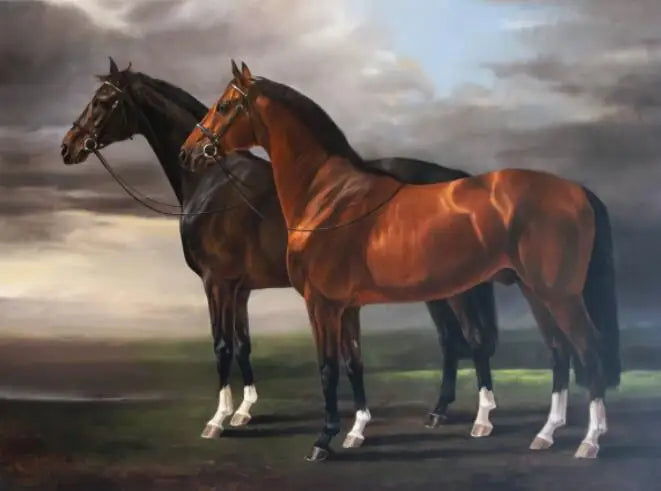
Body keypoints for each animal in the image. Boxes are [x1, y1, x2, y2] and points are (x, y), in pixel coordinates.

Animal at [60, 58, 500, 441]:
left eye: (103, 100)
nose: (68, 146)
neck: (213, 184)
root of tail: (458, 178)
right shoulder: (239, 289)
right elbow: (243, 345)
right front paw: (244, 410)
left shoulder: (216, 283)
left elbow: (221, 345)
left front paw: (218, 419)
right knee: (450, 341)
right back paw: (438, 412)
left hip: (452, 290)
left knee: (469, 338)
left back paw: (476, 418)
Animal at [179, 61, 620, 462]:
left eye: (224, 105)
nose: (189, 152)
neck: (329, 196)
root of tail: (576, 191)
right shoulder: (346, 307)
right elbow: (353, 362)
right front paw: (355, 433)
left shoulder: (321, 305)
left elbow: (327, 368)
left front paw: (323, 441)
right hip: (533, 292)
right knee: (558, 351)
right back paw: (546, 433)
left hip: (557, 295)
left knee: (588, 348)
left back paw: (589, 441)